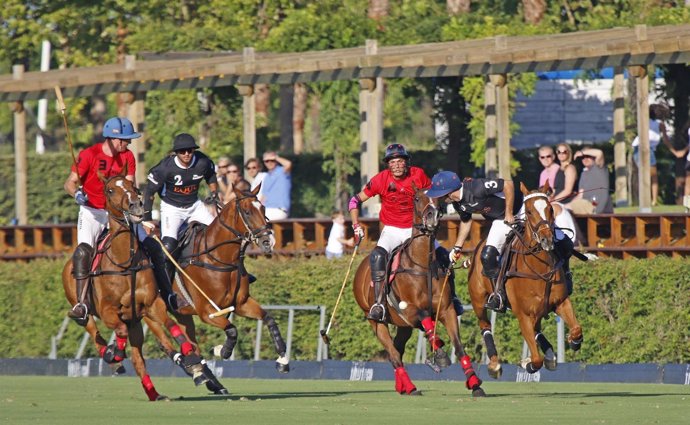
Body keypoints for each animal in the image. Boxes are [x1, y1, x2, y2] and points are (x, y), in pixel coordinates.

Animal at [61, 167, 207, 400]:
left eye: (133, 187)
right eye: (110, 190)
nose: (136, 206)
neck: (125, 262)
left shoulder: (151, 304)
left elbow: (170, 324)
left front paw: (190, 356)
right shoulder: (108, 311)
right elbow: (119, 331)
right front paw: (115, 352)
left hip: (135, 321)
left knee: (138, 359)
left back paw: (154, 393)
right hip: (82, 309)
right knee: (93, 330)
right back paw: (111, 356)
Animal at [165, 183, 288, 372]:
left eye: (263, 208)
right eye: (247, 212)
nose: (269, 242)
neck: (220, 259)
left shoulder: (241, 303)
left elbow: (269, 318)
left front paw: (282, 358)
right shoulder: (207, 311)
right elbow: (232, 330)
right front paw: (221, 350)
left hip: (182, 314)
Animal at [350, 184, 484, 396]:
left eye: (439, 199)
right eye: (417, 198)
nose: (432, 216)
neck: (422, 266)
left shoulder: (446, 310)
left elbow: (458, 346)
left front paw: (474, 383)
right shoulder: (410, 311)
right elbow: (426, 320)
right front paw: (440, 354)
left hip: (403, 326)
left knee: (397, 350)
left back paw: (402, 386)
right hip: (375, 321)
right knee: (393, 353)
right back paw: (411, 387)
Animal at [462, 181, 580, 376]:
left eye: (550, 209)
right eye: (529, 211)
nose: (547, 240)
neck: (540, 268)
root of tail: (478, 247)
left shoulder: (561, 302)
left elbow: (577, 329)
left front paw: (574, 341)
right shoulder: (522, 314)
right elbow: (536, 360)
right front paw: (527, 363)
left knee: (537, 329)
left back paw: (550, 356)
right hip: (478, 299)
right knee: (484, 325)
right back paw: (494, 364)